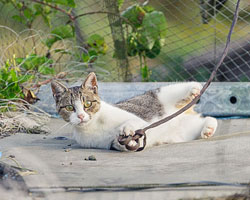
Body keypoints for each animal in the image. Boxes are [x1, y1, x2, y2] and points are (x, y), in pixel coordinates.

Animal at [50, 72, 217, 152]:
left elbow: (133, 122)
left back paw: (193, 90)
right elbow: (118, 143)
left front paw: (126, 128)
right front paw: (128, 141)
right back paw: (208, 128)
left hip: (161, 94)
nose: (80, 116)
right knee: (206, 120)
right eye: (69, 107)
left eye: (87, 103)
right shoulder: (106, 143)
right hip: (183, 131)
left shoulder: (137, 118)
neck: (94, 125)